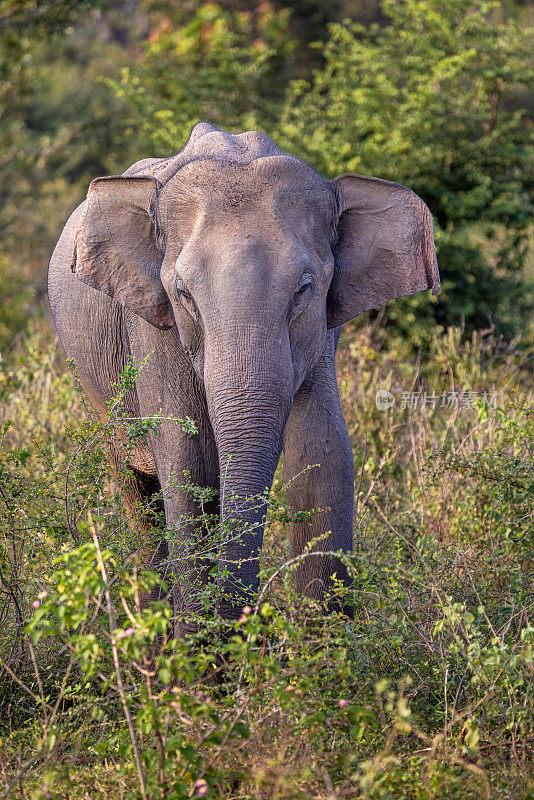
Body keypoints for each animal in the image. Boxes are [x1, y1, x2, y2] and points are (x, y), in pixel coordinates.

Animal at [47, 120, 440, 632]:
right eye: (183, 293)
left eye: (305, 288)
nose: (245, 621)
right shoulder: (153, 327)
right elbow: (187, 461)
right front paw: (196, 650)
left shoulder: (322, 336)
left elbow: (323, 455)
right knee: (135, 492)